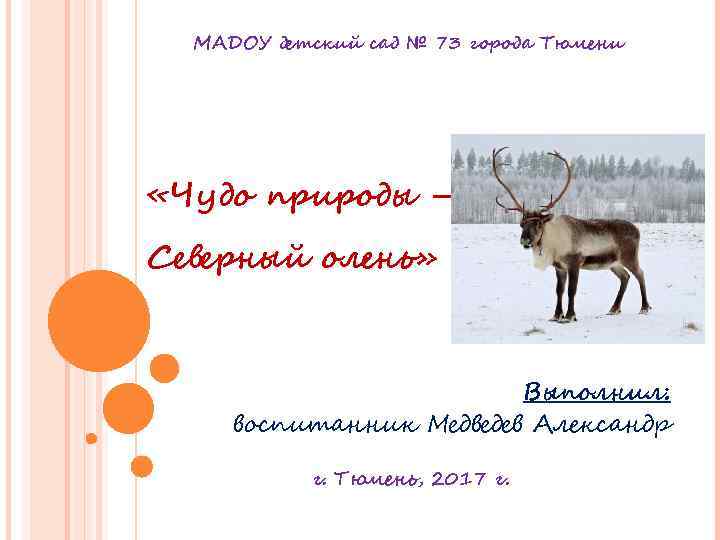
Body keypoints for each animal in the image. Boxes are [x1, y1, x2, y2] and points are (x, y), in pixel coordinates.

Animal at [490, 147, 651, 323]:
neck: (553, 242)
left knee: (640, 274)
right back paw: (614, 309)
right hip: (613, 263)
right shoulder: (559, 267)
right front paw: (556, 315)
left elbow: (571, 290)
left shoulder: (575, 263)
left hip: (629, 257)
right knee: (625, 277)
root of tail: (637, 230)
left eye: (538, 224)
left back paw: (644, 307)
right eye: (521, 224)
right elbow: (558, 290)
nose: (525, 240)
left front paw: (569, 315)